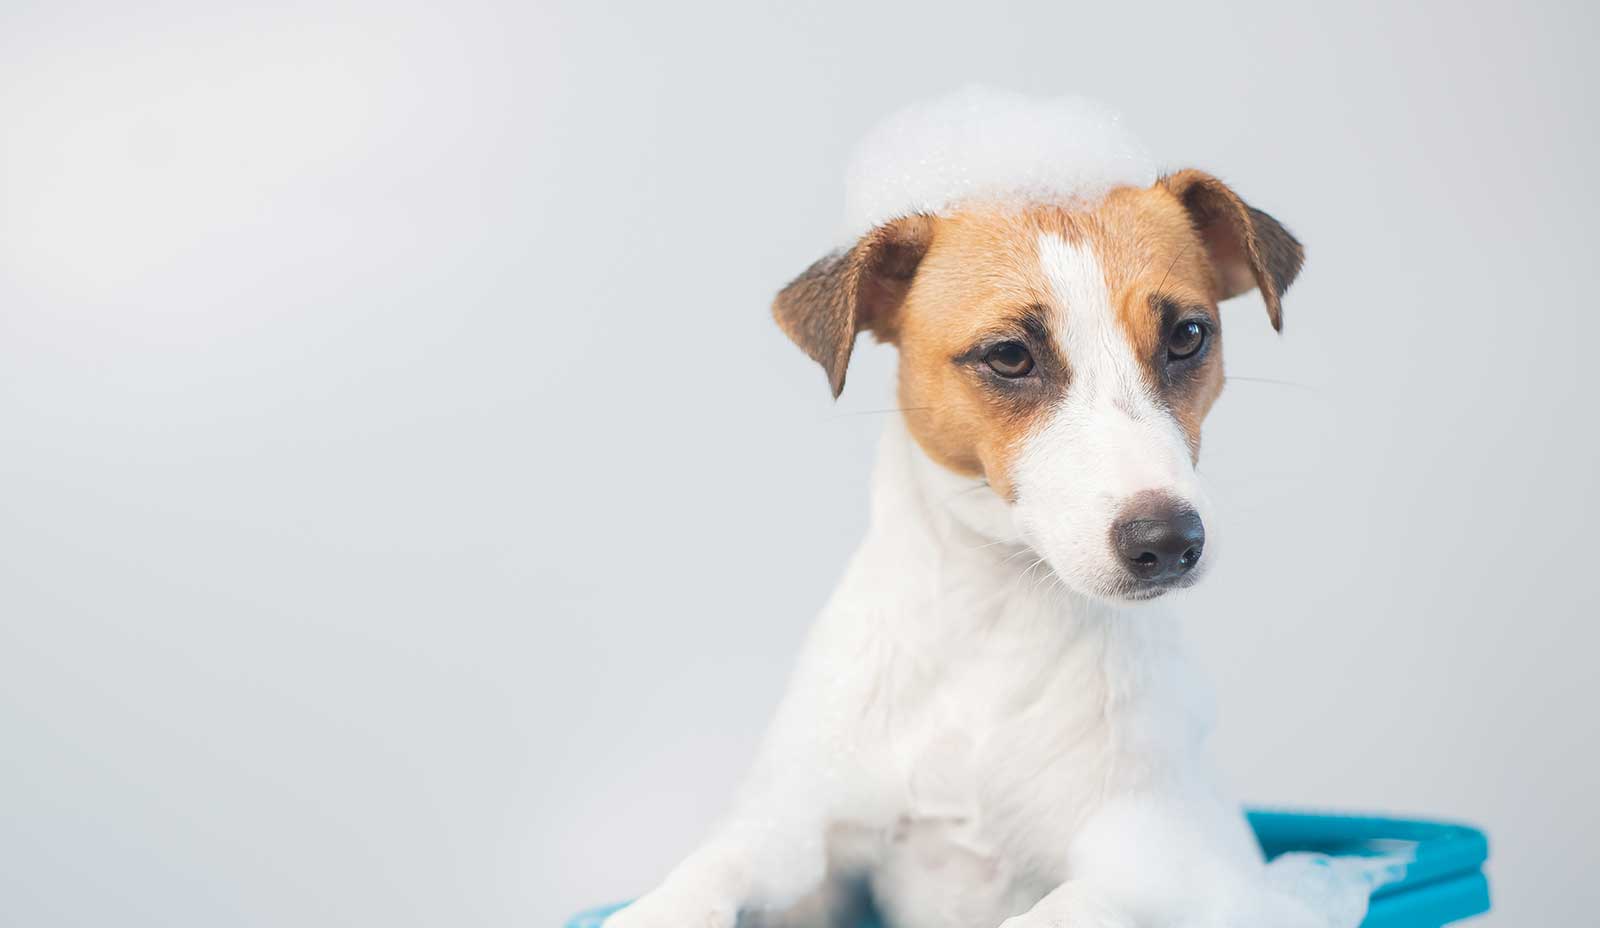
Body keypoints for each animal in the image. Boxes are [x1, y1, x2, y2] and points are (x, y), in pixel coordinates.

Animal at [604, 92, 1305, 928]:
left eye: (1189, 336)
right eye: (1009, 355)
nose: (1168, 541)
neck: (993, 622)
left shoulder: (1152, 861)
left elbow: (1062, 910)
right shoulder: (806, 852)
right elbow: (721, 863)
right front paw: (657, 906)